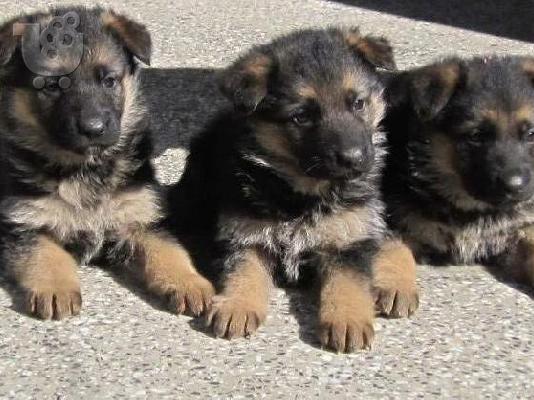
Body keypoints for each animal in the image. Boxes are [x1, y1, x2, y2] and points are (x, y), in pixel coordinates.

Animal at [0, 7, 214, 320]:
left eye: (109, 81)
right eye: (51, 86)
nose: (94, 129)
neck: (86, 168)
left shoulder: (140, 217)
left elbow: (169, 252)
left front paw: (189, 282)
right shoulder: (25, 222)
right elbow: (46, 254)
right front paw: (56, 288)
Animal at [168, 27, 419, 353]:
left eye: (358, 103)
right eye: (301, 116)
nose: (355, 159)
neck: (301, 194)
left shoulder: (348, 238)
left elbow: (347, 282)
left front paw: (347, 318)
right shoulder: (246, 234)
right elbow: (244, 271)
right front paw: (237, 305)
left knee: (391, 236)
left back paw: (395, 283)